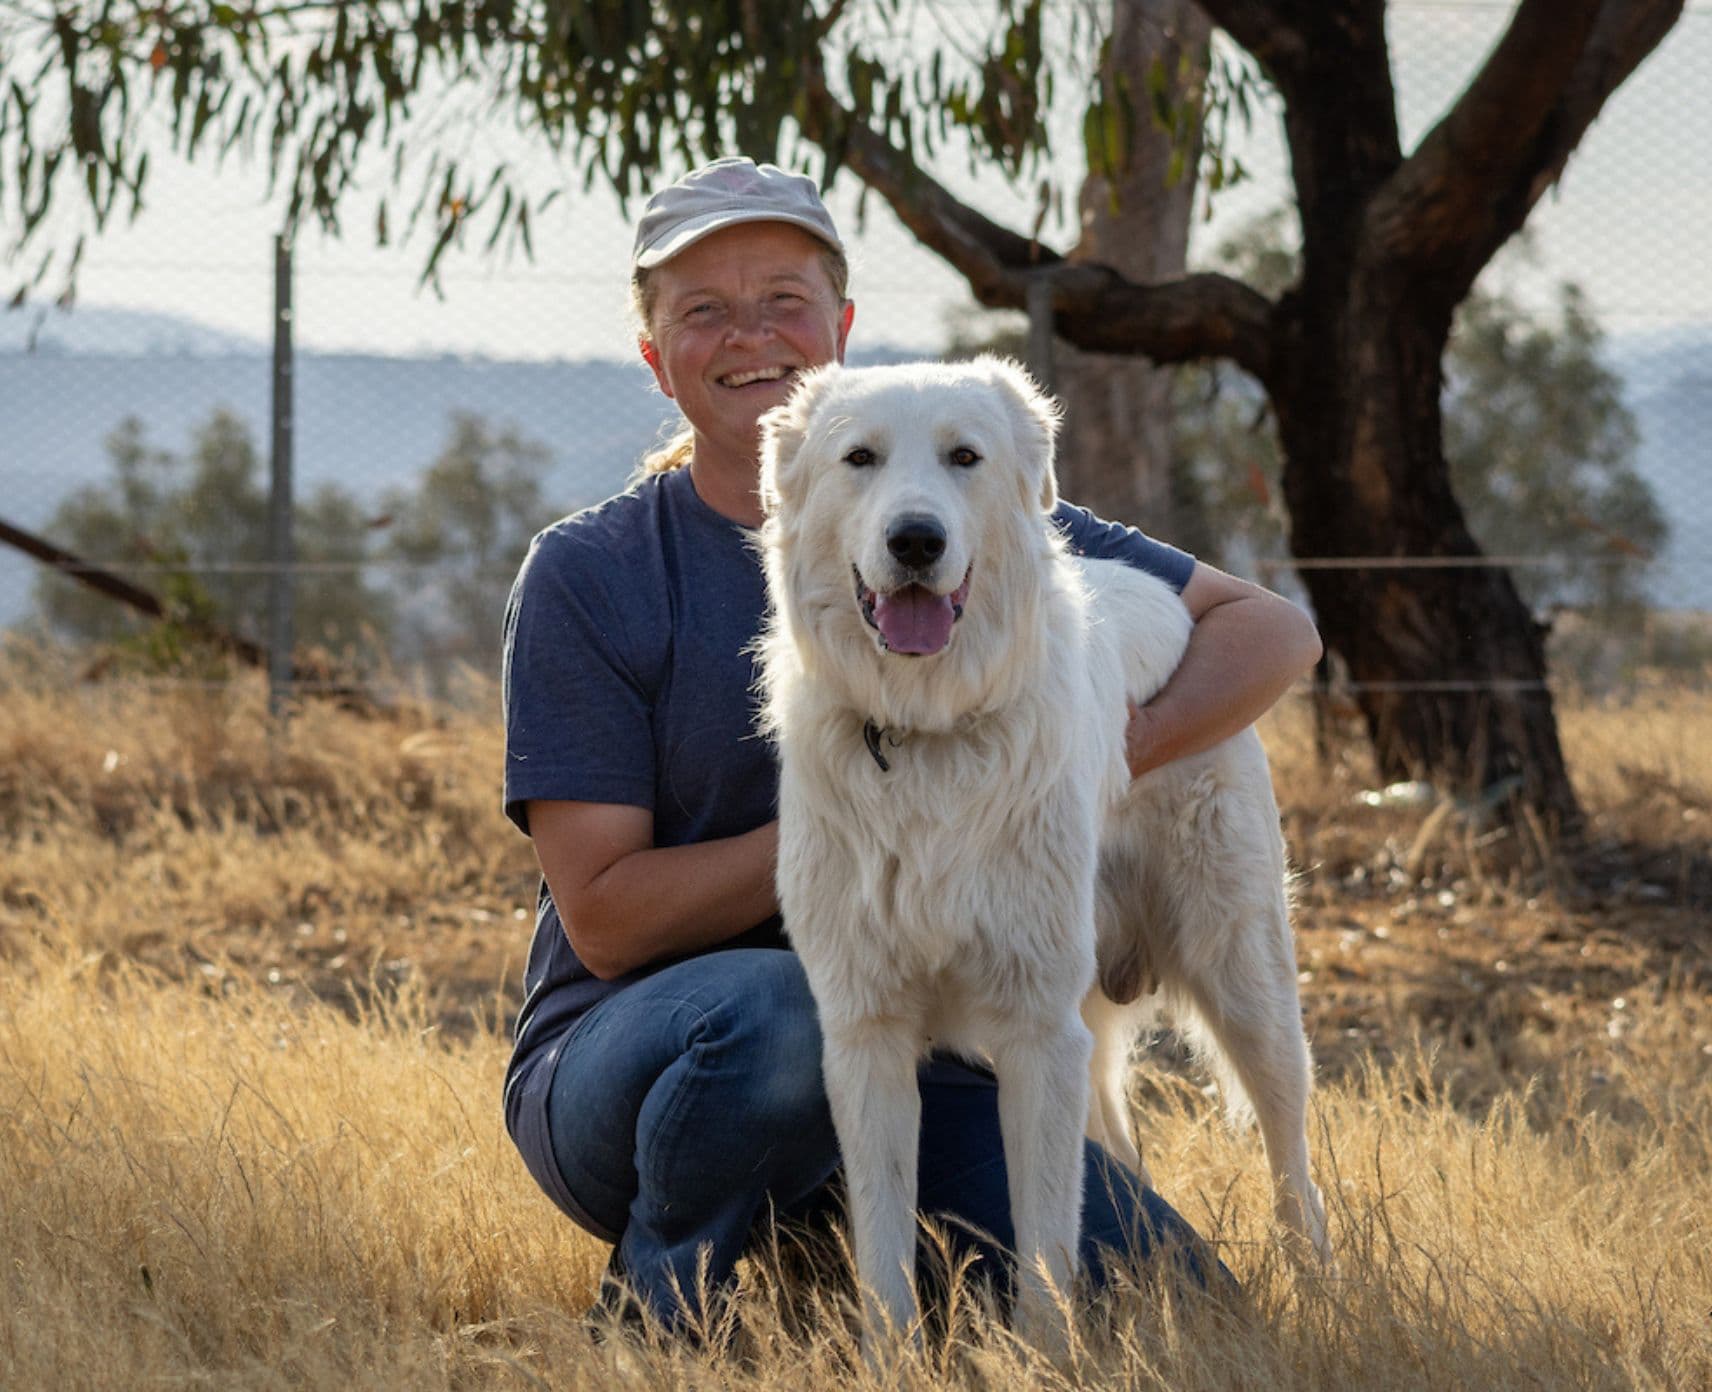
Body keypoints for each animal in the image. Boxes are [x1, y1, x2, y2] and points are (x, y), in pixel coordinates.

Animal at [756, 357, 1328, 1349]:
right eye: (860, 458)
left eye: (964, 457)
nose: (916, 540)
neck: (929, 739)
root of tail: (1160, 593)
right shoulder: (866, 1034)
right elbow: (883, 1255)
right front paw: (894, 1361)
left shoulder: (1034, 1031)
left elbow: (1047, 1249)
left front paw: (1048, 1357)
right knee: (1126, 1156)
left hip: (1244, 986)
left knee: (1290, 1150)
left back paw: (1329, 1296)